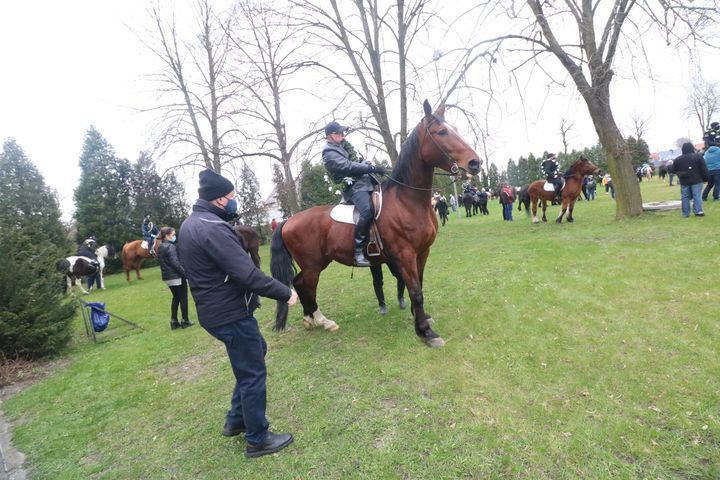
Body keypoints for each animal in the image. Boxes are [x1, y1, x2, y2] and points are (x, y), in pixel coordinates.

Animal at [268, 102, 478, 348]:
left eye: (454, 128)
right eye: (442, 132)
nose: (475, 163)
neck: (406, 202)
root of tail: (288, 221)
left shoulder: (422, 252)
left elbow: (419, 285)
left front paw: (421, 318)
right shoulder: (405, 255)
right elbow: (415, 291)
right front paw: (426, 332)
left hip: (318, 262)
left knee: (300, 284)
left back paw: (311, 319)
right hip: (313, 264)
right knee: (305, 285)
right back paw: (322, 320)